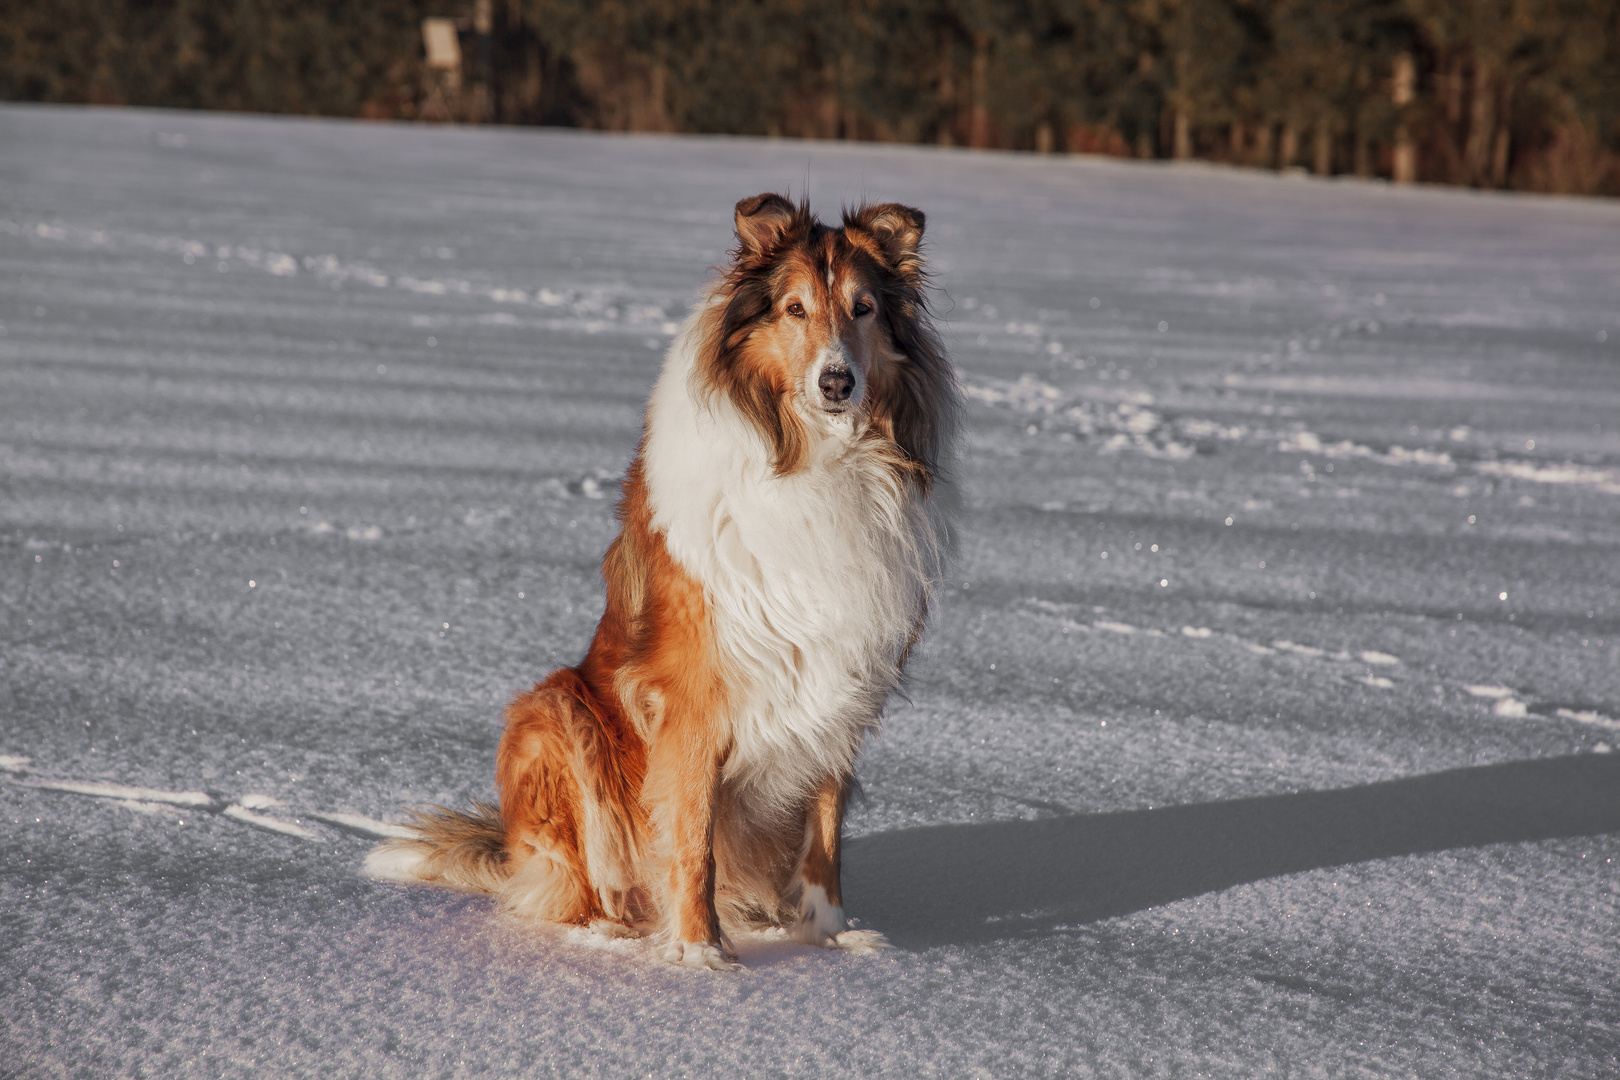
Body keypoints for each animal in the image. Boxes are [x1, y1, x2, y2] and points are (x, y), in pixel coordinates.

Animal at [361, 191, 952, 971]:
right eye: (794, 308)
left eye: (863, 308)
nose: (836, 383)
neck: (810, 458)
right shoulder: (694, 695)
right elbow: (692, 835)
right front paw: (700, 955)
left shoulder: (842, 678)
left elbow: (824, 830)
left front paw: (830, 938)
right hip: (554, 709)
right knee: (573, 884)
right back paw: (610, 929)